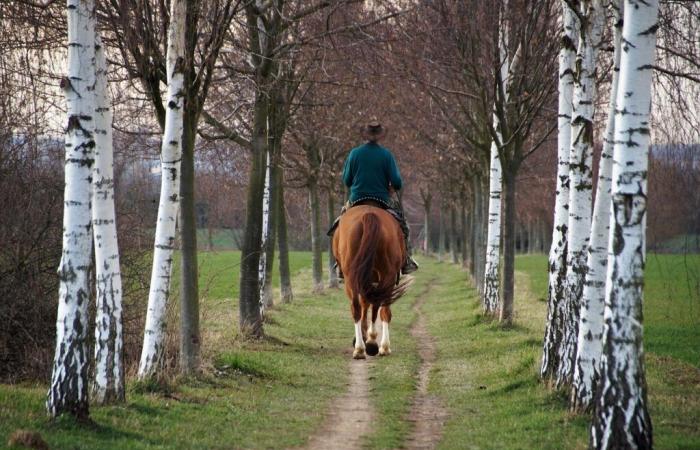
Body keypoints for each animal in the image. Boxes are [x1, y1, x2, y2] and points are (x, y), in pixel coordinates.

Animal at [332, 203, 412, 358]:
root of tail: (369, 214)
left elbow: (365, 303)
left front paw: (363, 336)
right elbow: (370, 304)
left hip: (352, 276)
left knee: (357, 307)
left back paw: (361, 348)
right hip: (387, 275)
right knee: (380, 307)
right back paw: (377, 345)